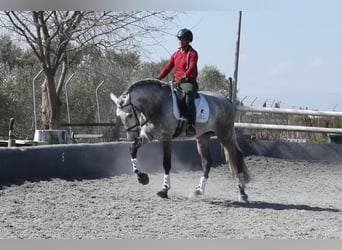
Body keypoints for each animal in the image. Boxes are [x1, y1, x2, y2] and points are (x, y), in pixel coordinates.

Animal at [111, 78, 250, 201]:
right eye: (118, 116)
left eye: (129, 115)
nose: (131, 137)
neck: (157, 104)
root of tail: (226, 100)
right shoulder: (147, 136)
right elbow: (132, 149)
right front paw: (142, 177)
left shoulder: (166, 137)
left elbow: (166, 163)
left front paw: (164, 189)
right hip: (203, 138)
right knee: (207, 162)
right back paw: (198, 190)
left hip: (225, 135)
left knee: (237, 156)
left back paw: (242, 193)